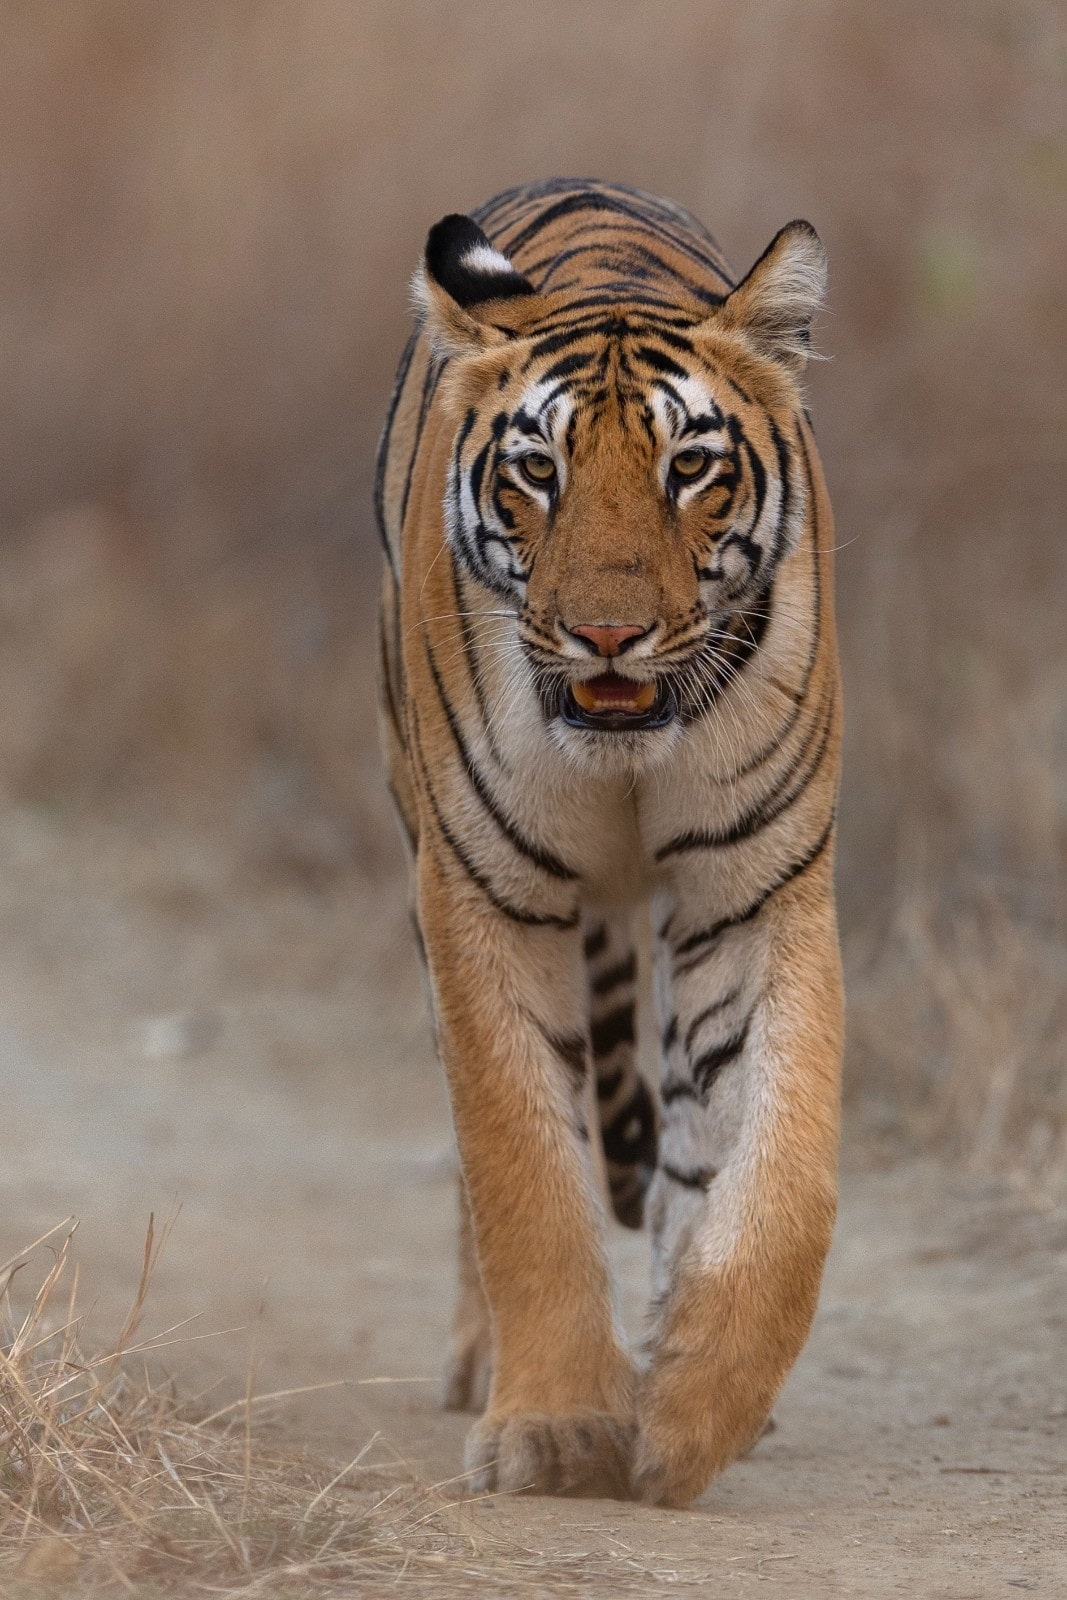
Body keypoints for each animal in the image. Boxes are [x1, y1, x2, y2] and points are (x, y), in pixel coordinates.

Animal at [375, 178, 842, 1508]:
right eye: (537, 470)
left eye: (690, 468)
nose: (606, 635)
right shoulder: (479, 890)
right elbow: (522, 1167)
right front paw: (553, 1426)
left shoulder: (757, 888)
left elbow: (782, 1171)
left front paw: (691, 1410)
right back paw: (482, 1363)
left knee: (686, 1144)